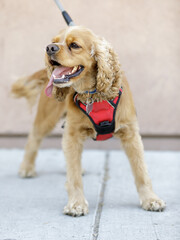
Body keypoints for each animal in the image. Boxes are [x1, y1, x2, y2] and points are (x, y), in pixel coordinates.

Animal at [11, 25, 166, 216]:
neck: (94, 95)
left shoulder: (131, 134)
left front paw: (150, 199)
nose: (49, 48)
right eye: (54, 41)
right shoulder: (72, 134)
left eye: (74, 45)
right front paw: (76, 203)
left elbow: (141, 171)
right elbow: (74, 175)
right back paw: (26, 168)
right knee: (34, 137)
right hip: (46, 118)